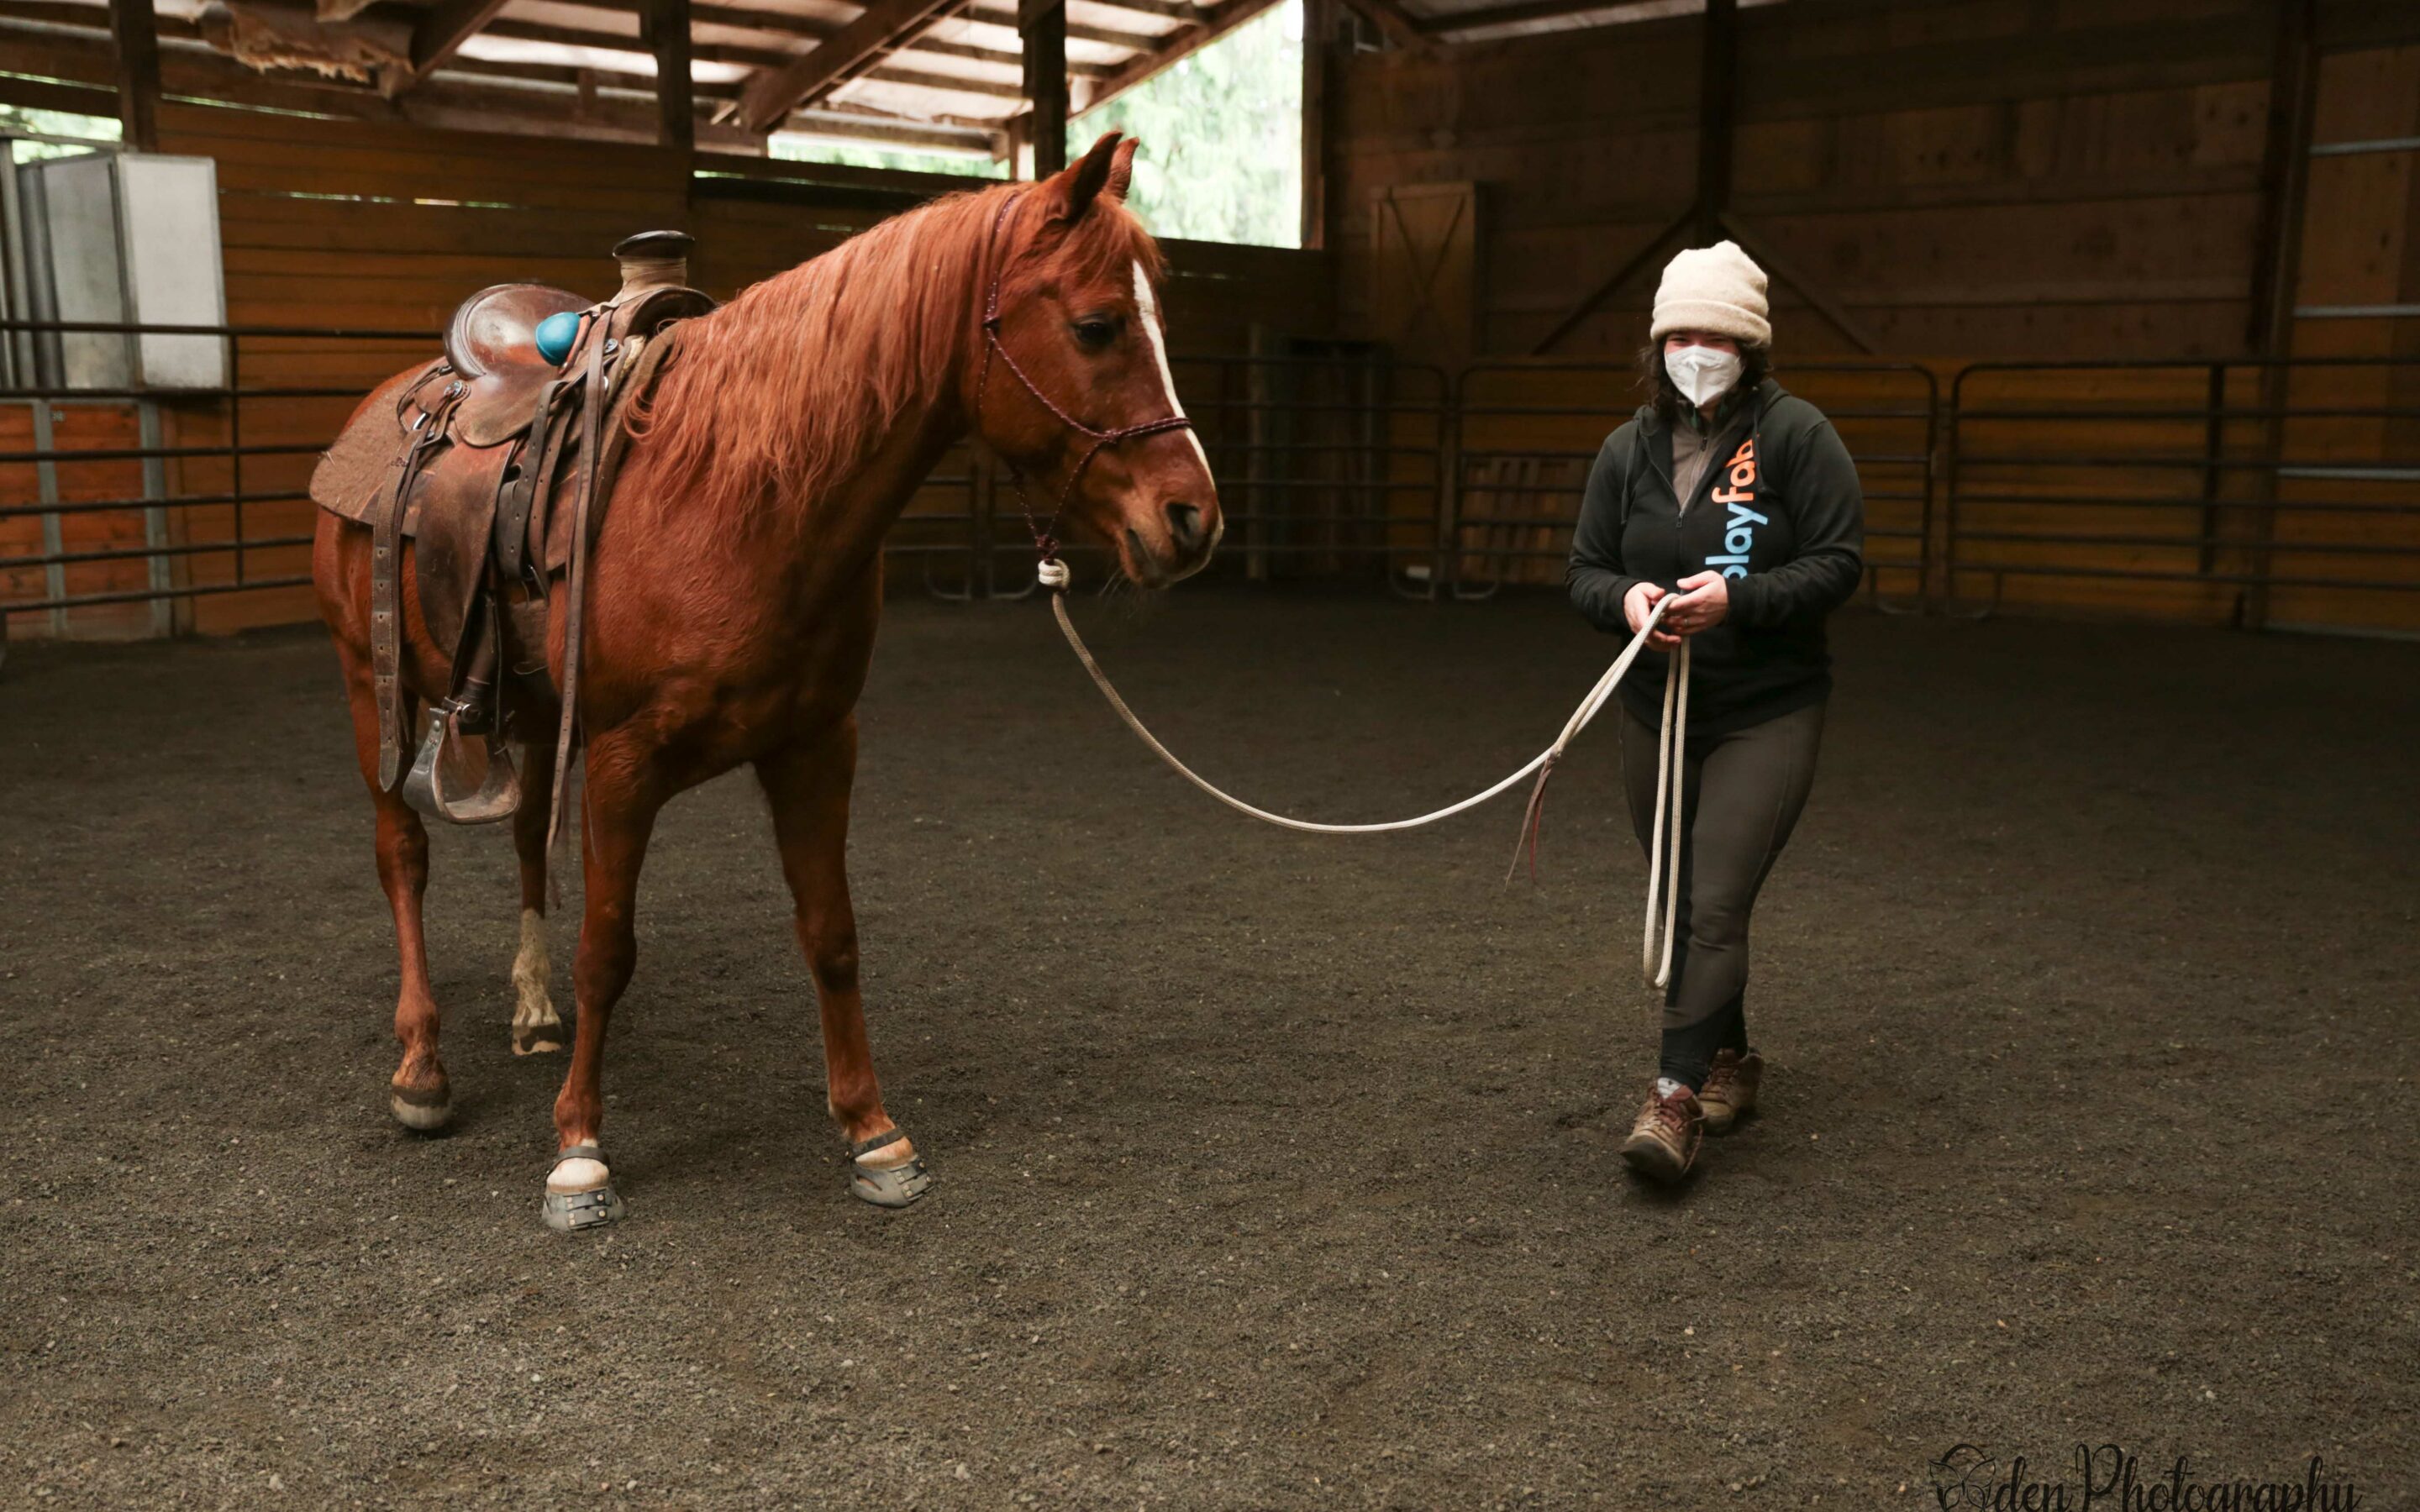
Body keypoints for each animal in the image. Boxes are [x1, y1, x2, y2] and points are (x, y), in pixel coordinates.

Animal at [317, 132, 1229, 1229]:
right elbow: (607, 950)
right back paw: (422, 1067)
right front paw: (578, 1152)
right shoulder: (622, 765)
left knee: (529, 832)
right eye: (1097, 328)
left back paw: (532, 1009)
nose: (1193, 519)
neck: (735, 498)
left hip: (531, 713)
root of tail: (393, 401)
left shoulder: (816, 743)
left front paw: (873, 1132)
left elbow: (831, 934)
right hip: (371, 685)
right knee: (401, 855)